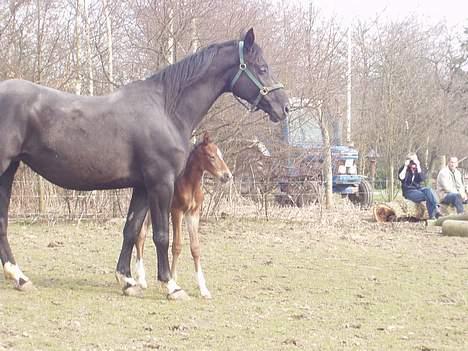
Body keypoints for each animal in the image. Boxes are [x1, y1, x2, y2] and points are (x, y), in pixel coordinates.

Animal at [0, 27, 288, 300]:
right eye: (262, 68)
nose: (285, 107)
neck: (166, 109)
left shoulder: (142, 186)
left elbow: (131, 229)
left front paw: (128, 281)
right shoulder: (161, 184)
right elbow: (161, 235)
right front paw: (171, 286)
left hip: (9, 170)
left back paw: (19, 277)